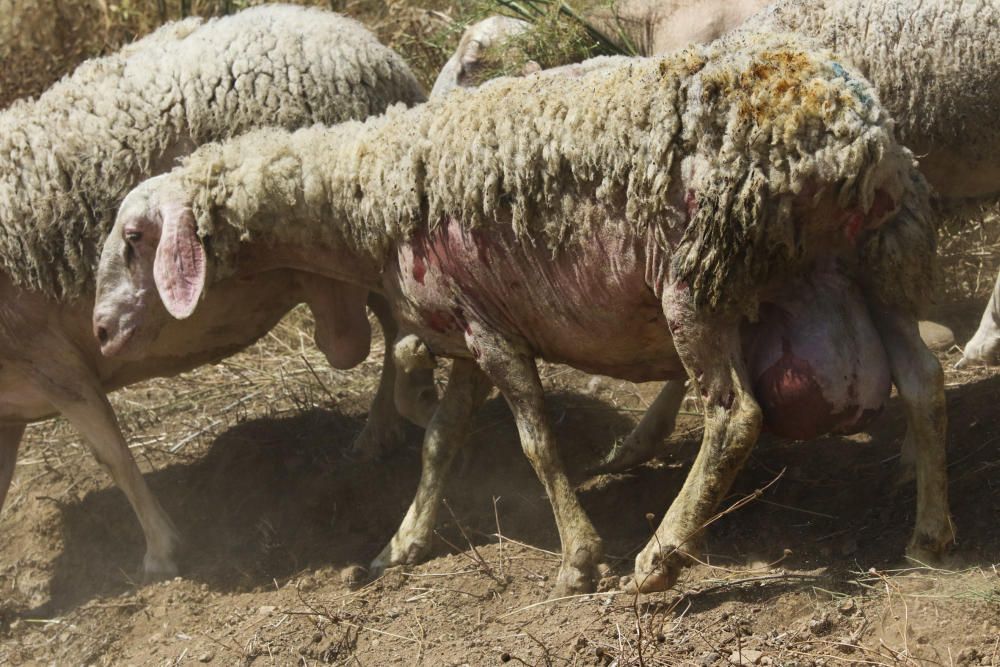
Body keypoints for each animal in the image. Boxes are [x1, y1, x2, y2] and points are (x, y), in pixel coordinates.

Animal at [0, 2, 438, 580]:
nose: (103, 332)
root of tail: (377, 53)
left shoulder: (51, 363)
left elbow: (113, 457)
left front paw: (162, 549)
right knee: (388, 329)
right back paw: (381, 430)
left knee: (369, 332)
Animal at [99, 34, 952, 592]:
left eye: (136, 238)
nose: (102, 332)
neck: (365, 193)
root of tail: (857, 139)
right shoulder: (460, 339)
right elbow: (438, 447)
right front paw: (400, 545)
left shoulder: (490, 329)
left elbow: (537, 443)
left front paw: (580, 557)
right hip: (882, 255)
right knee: (924, 381)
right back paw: (930, 534)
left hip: (698, 274)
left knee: (734, 415)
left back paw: (660, 558)